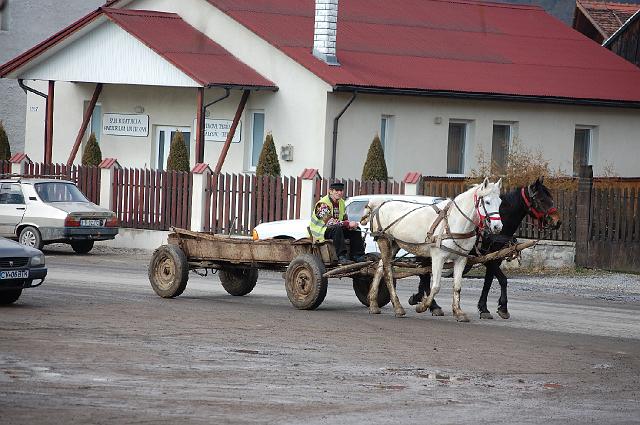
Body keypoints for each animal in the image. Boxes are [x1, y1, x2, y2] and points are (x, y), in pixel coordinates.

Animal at [362, 177, 502, 320]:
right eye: (487, 201)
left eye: (500, 202)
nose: (498, 226)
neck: (453, 221)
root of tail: (379, 204)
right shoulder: (438, 257)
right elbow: (435, 286)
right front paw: (423, 306)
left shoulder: (461, 259)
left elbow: (457, 287)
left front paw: (458, 312)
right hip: (384, 241)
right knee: (388, 273)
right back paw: (398, 307)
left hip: (394, 245)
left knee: (380, 269)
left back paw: (373, 304)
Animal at [410, 176, 560, 318]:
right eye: (541, 199)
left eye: (551, 198)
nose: (557, 221)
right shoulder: (487, 259)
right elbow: (503, 280)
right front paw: (502, 307)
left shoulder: (494, 258)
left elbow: (488, 283)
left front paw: (484, 308)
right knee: (424, 275)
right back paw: (433, 305)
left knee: (423, 274)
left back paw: (420, 298)